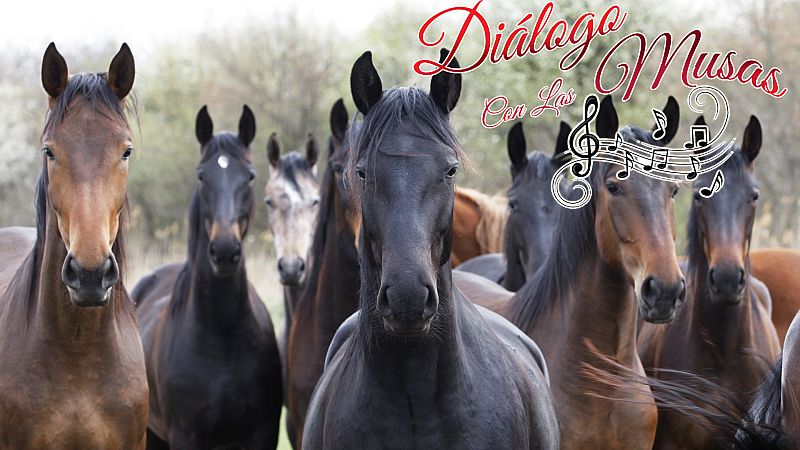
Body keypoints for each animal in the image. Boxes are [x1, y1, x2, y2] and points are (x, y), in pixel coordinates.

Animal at [131, 106, 282, 449]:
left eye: (250, 176)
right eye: (202, 176)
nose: (225, 251)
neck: (222, 336)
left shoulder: (263, 434)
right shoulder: (186, 438)